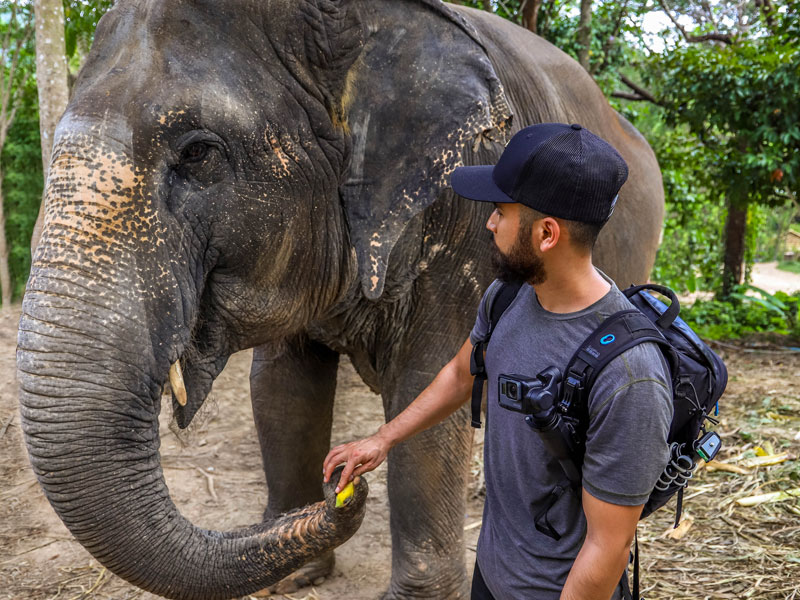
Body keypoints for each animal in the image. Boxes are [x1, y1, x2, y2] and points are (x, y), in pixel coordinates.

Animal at [18, 1, 664, 600]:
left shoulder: (467, 224)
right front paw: (294, 577)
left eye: (198, 152)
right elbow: (281, 387)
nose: (343, 488)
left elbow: (428, 384)